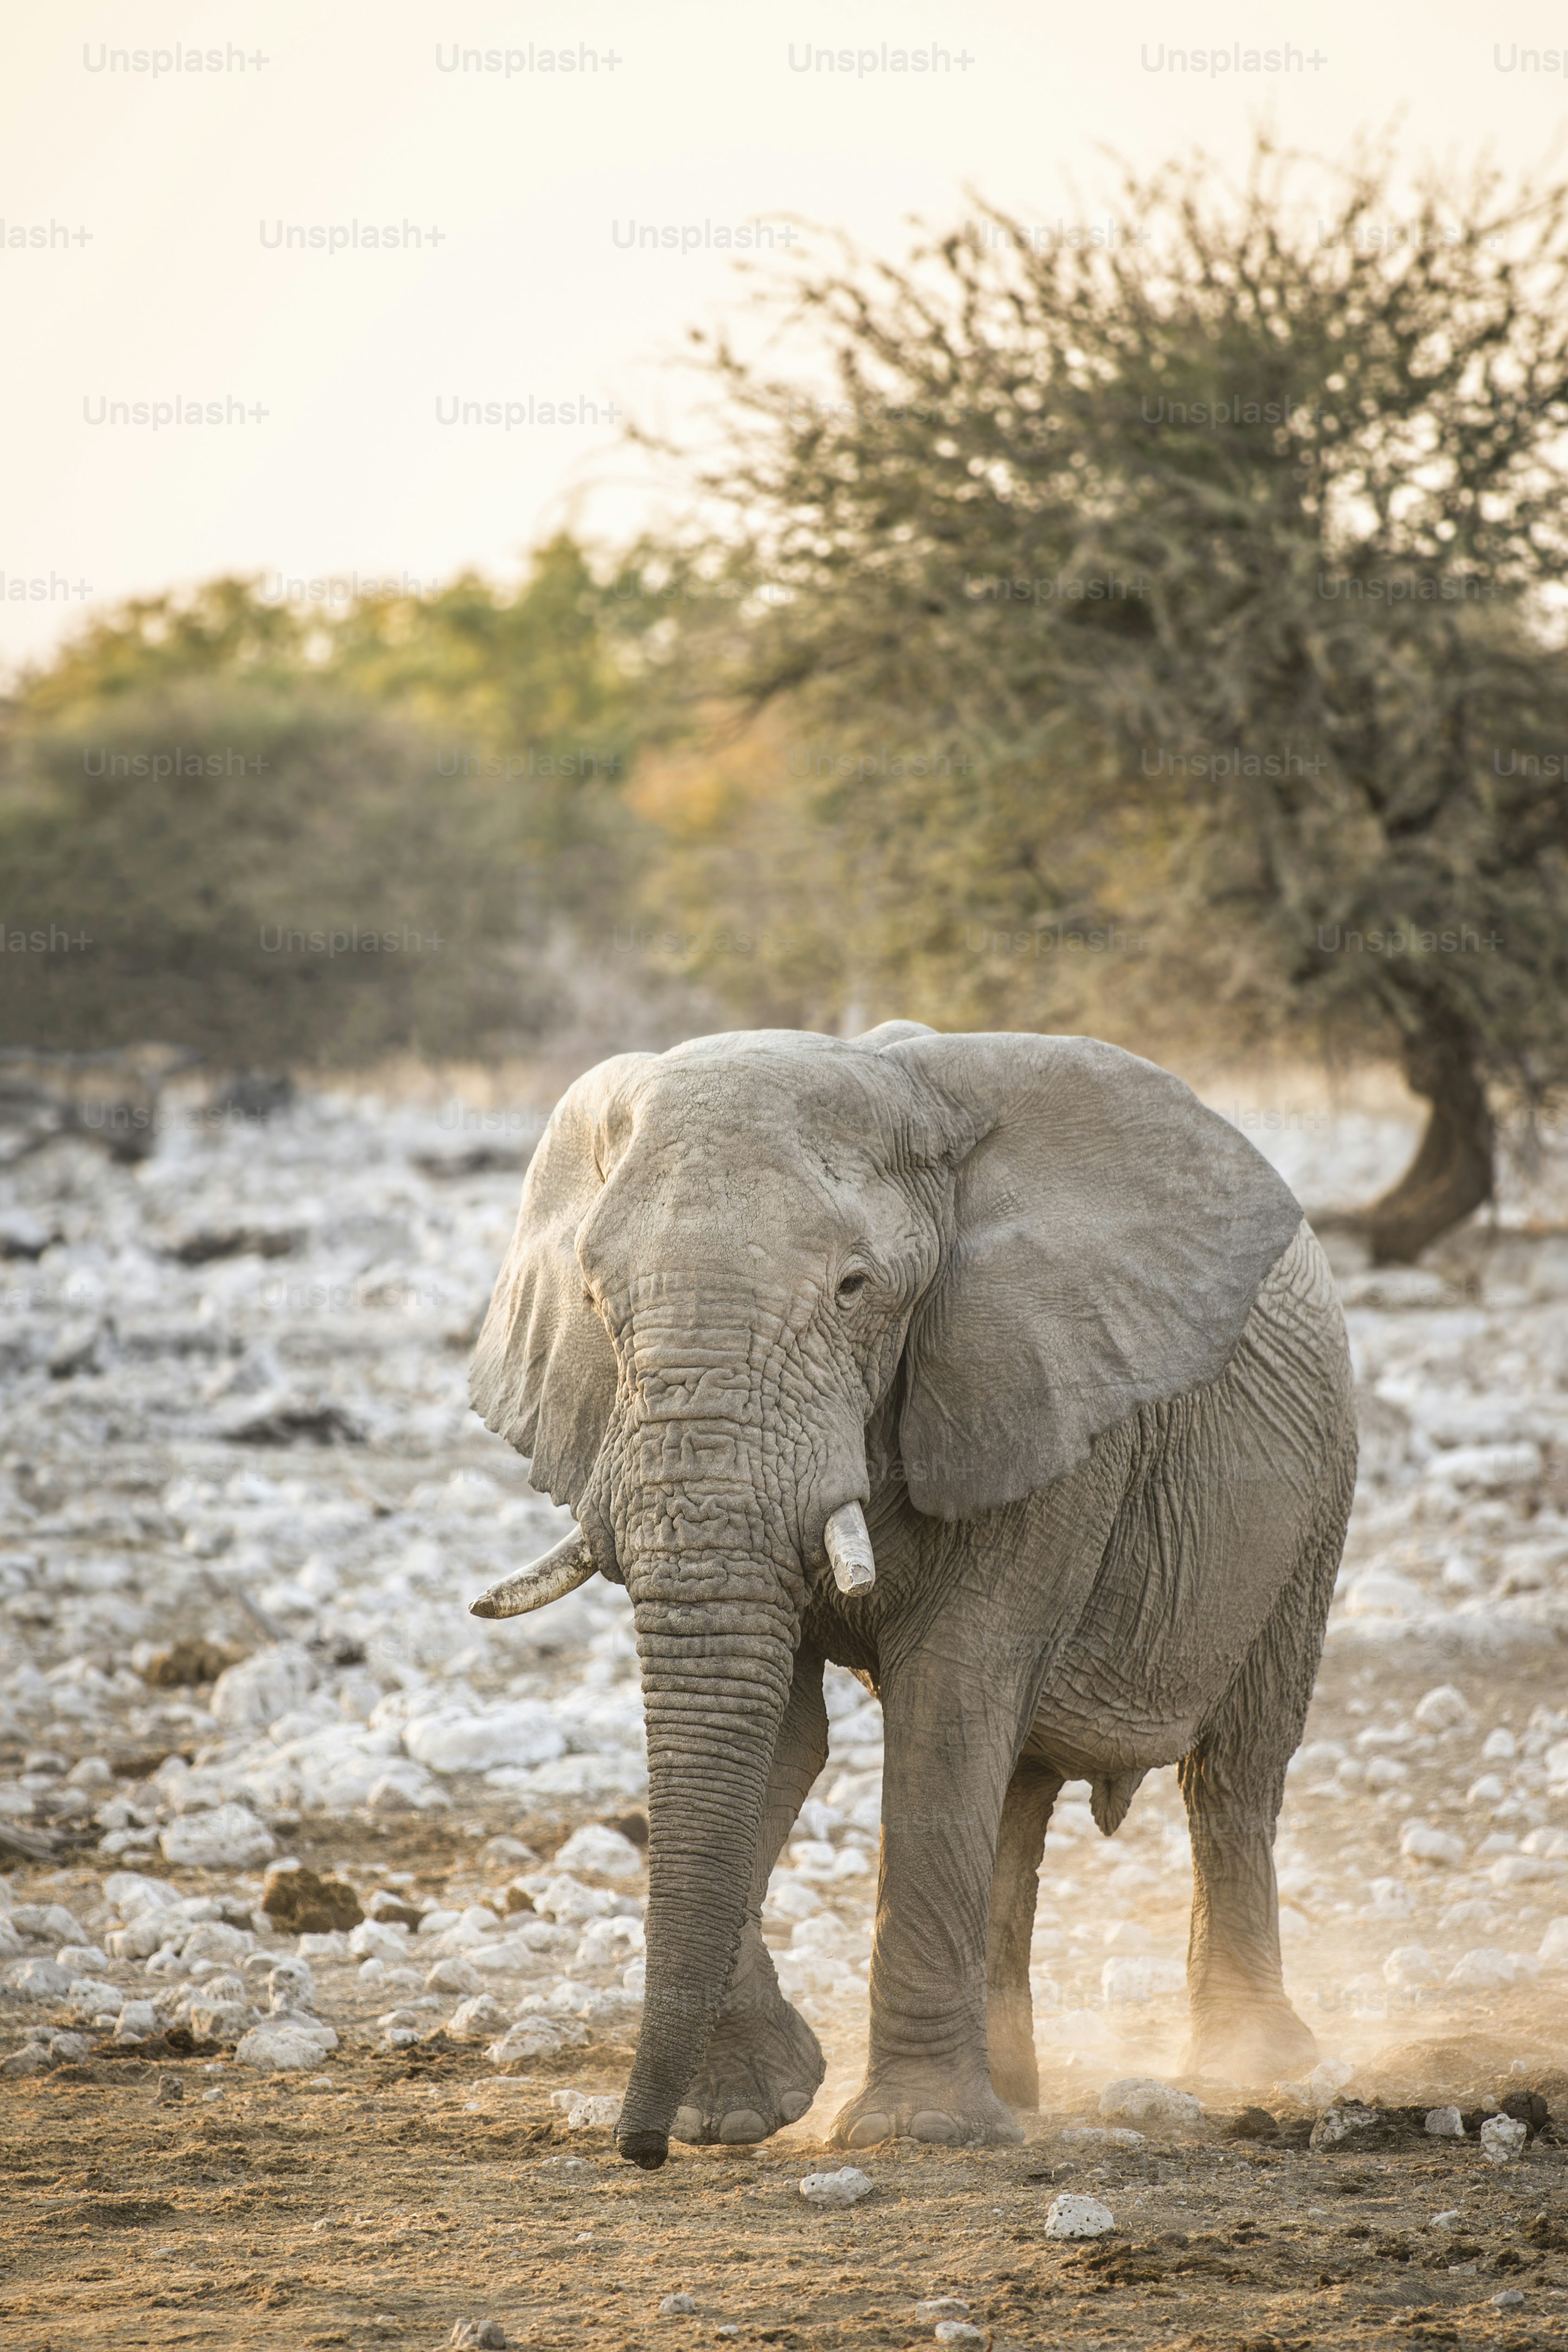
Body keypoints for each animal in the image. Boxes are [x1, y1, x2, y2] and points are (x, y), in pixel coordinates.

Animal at [467, 1022, 1357, 2170]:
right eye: (592, 1299)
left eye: (855, 1286)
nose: (642, 2148)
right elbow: (781, 1728)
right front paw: (744, 2112)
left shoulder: (1042, 1399)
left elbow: (948, 1693)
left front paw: (915, 2129)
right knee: (1019, 1790)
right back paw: (1017, 2088)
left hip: (1318, 1489)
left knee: (1233, 1772)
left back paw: (1250, 2068)